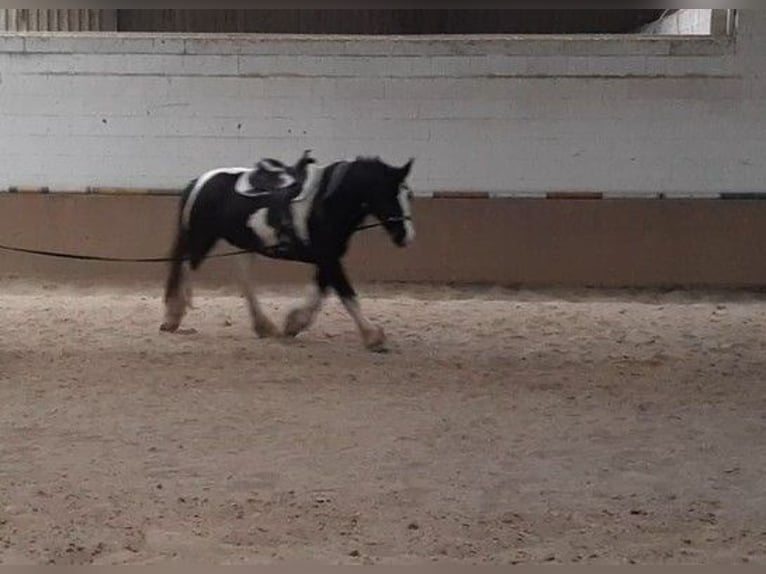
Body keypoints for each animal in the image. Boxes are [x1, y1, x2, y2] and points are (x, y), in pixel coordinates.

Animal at [160, 152, 416, 352]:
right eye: (391, 195)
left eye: (408, 195)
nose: (407, 236)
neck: (325, 202)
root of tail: (200, 181)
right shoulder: (328, 258)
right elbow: (347, 295)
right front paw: (373, 336)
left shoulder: (328, 258)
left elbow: (319, 292)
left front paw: (294, 323)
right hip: (201, 238)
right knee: (185, 267)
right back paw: (173, 316)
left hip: (241, 244)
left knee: (242, 279)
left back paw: (263, 325)